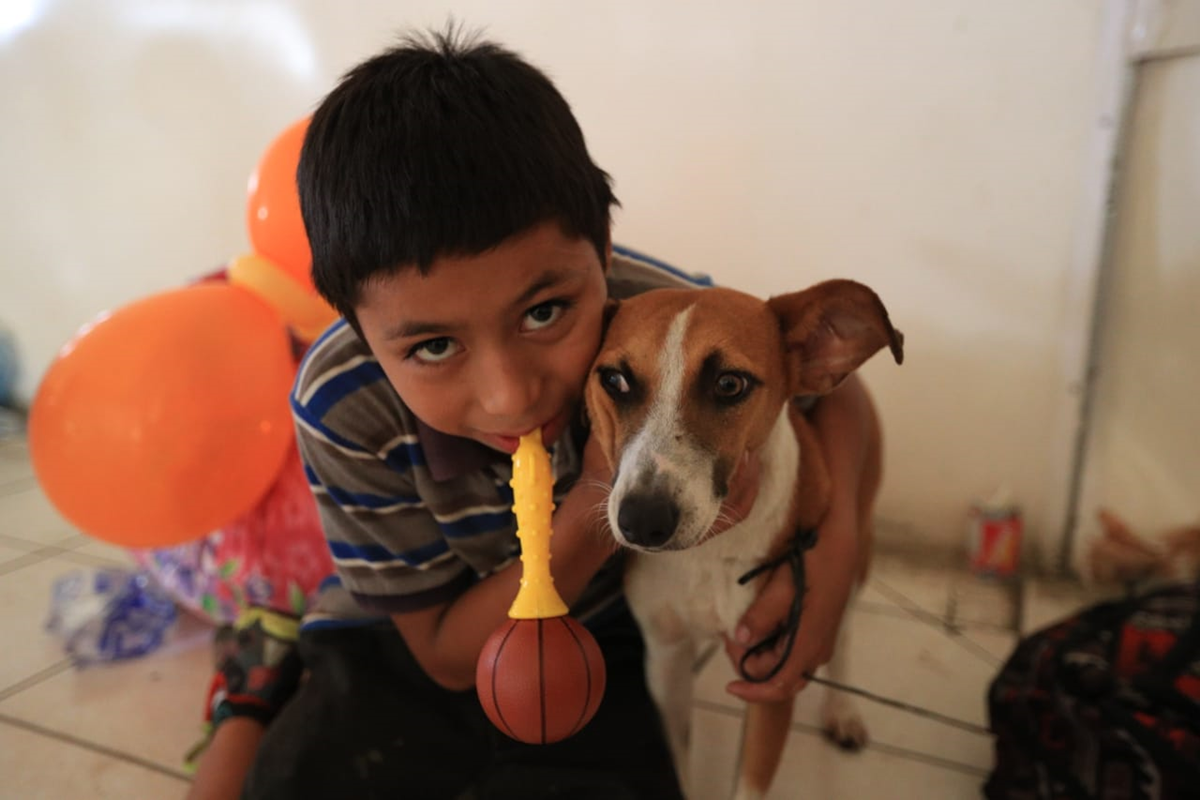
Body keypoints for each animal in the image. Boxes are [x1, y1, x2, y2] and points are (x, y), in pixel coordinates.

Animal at [580, 278, 902, 796]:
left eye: (730, 384)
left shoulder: (772, 680)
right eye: (614, 380)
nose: (642, 521)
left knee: (845, 630)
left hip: (859, 552)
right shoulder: (666, 661)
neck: (710, 550)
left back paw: (843, 710)